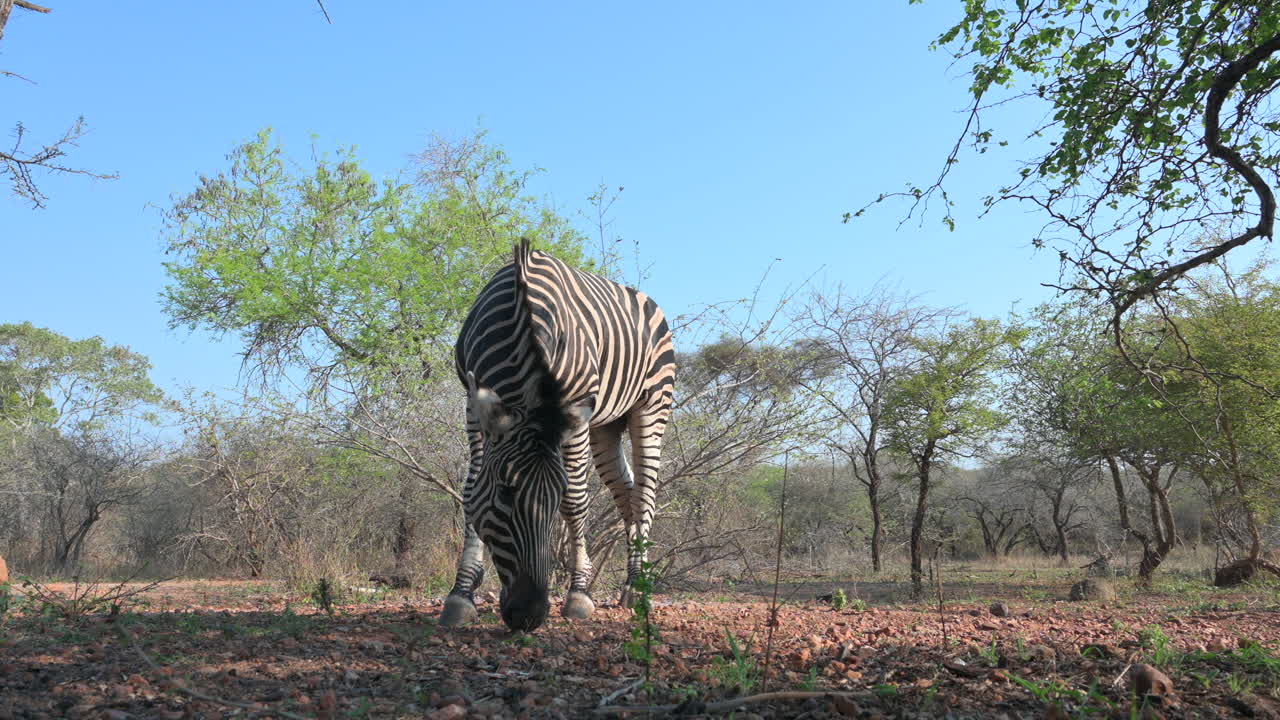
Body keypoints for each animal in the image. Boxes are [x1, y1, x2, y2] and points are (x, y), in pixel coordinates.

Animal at [440, 239, 676, 632]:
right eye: (504, 492)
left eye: (554, 495)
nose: (529, 615)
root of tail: (645, 299)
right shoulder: (474, 403)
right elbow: (471, 488)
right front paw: (461, 594)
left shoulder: (573, 411)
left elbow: (576, 499)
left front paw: (579, 594)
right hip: (606, 425)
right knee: (627, 493)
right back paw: (631, 578)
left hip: (651, 406)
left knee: (644, 493)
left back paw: (637, 588)